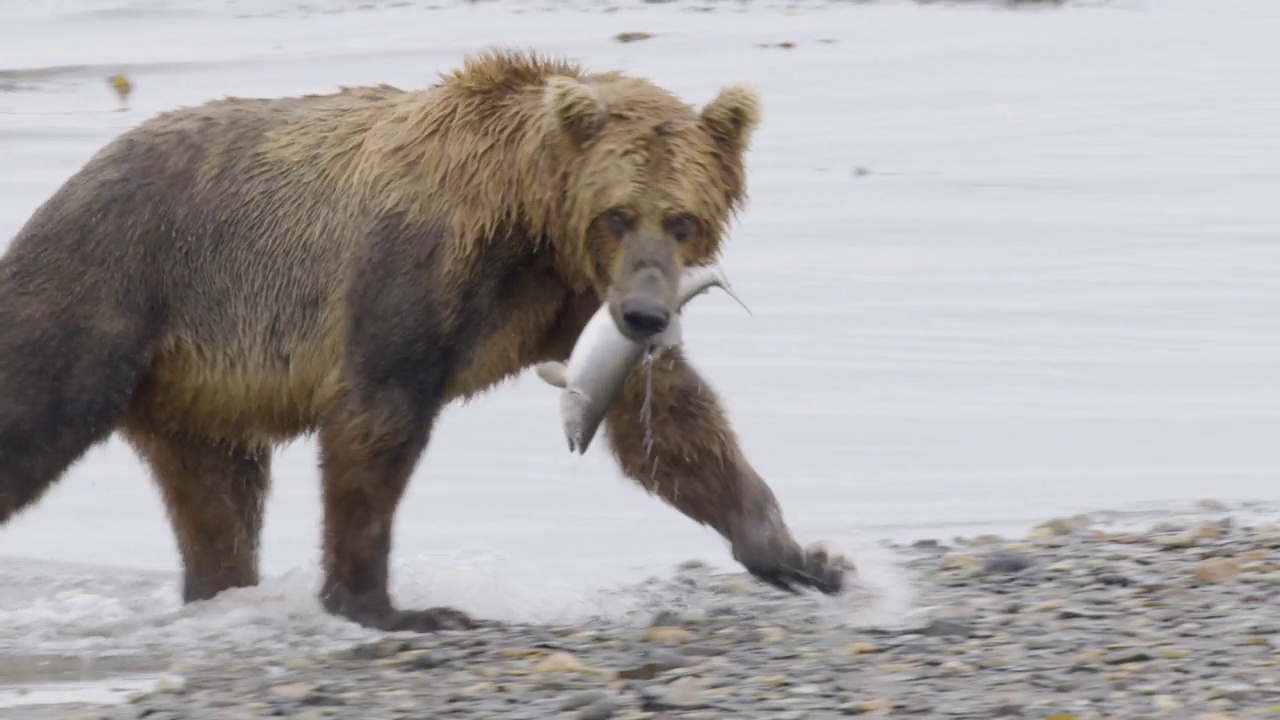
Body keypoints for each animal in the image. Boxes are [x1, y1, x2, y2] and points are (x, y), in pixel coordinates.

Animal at [0, 49, 849, 627]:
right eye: (617, 213)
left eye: (683, 218)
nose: (646, 315)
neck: (530, 222)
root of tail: (72, 182)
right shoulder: (417, 267)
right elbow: (378, 415)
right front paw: (383, 603)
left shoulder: (577, 307)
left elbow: (667, 423)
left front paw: (801, 556)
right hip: (111, 290)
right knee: (34, 412)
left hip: (197, 384)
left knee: (218, 493)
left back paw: (219, 587)